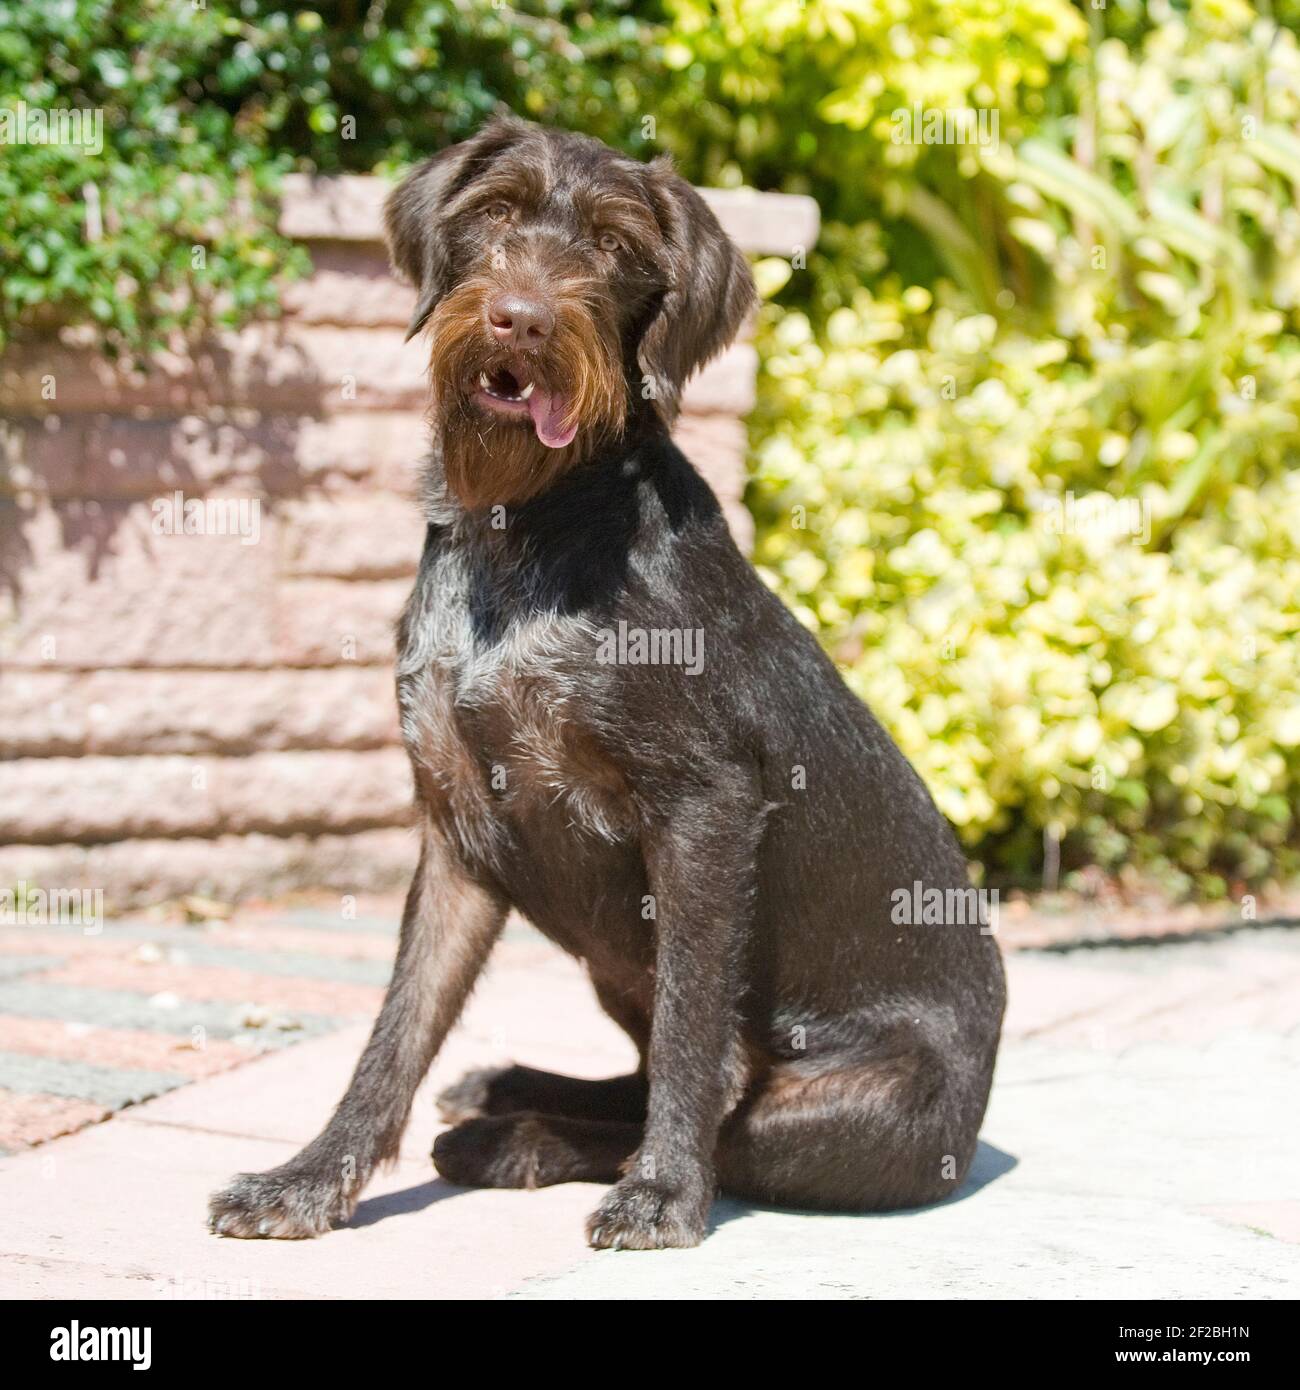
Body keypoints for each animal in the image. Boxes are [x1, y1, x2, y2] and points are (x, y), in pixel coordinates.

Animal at [211, 116, 1006, 1251]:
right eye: (496, 210)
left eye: (617, 246)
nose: (522, 318)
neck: (527, 527)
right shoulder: (455, 831)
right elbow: (393, 1033)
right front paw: (311, 1178)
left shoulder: (703, 813)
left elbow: (689, 1038)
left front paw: (664, 1194)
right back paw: (510, 1096)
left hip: (855, 1102)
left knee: (722, 1108)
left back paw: (524, 1138)